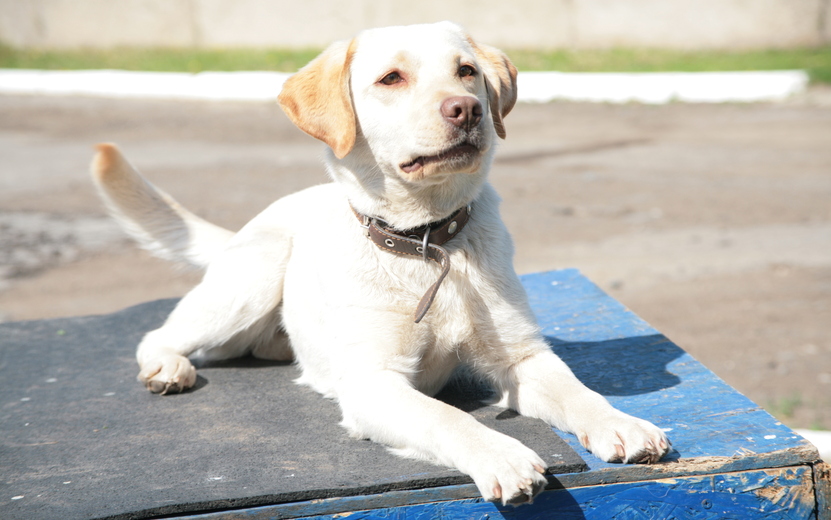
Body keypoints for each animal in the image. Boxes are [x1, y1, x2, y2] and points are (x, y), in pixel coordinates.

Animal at [91, 22, 668, 506]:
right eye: (392, 78)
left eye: (467, 71)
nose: (467, 109)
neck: (429, 243)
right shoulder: (375, 383)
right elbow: (447, 418)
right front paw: (501, 454)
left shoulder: (523, 356)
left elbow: (579, 392)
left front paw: (620, 422)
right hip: (250, 281)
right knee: (159, 334)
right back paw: (168, 367)